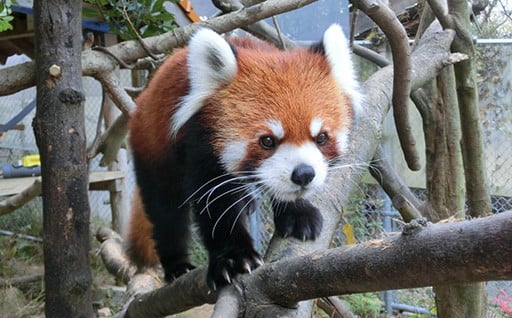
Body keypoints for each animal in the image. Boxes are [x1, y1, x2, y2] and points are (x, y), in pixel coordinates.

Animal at [126, 23, 362, 290]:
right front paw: (234, 258)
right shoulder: (200, 142)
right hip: (152, 149)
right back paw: (177, 266)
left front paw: (298, 212)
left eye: (321, 137)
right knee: (165, 212)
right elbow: (215, 204)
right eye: (267, 141)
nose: (303, 174)